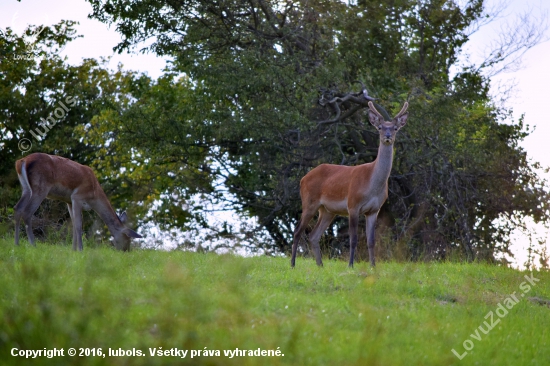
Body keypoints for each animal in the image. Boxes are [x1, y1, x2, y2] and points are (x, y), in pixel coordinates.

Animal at [14, 152, 142, 252]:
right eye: (127, 238)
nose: (126, 251)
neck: (94, 194)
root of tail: (22, 161)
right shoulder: (77, 197)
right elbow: (79, 225)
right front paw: (80, 249)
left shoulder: (69, 201)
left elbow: (74, 225)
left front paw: (73, 250)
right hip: (40, 187)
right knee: (27, 212)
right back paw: (33, 245)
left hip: (25, 188)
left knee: (17, 208)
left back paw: (17, 243)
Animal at [294, 101, 410, 268]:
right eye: (380, 127)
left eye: (395, 128)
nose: (387, 136)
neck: (373, 186)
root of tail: (303, 178)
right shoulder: (353, 205)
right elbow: (353, 238)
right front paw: (350, 265)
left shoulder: (374, 210)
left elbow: (371, 241)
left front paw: (373, 266)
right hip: (309, 202)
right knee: (298, 231)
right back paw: (292, 264)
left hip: (327, 210)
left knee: (314, 235)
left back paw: (320, 265)